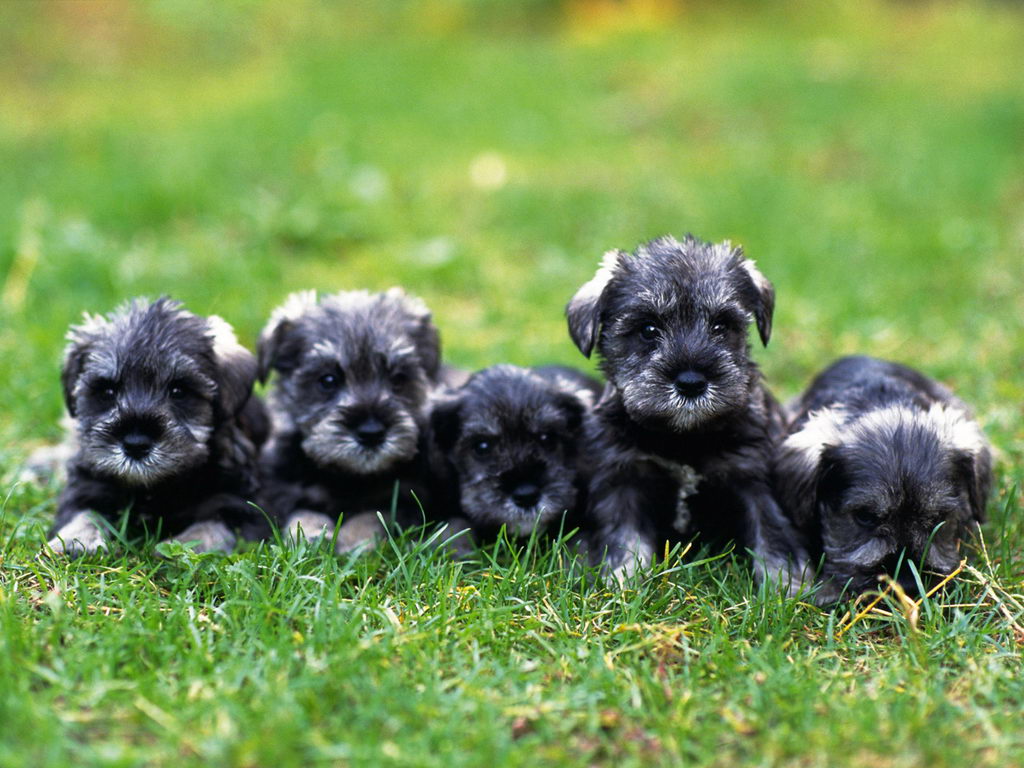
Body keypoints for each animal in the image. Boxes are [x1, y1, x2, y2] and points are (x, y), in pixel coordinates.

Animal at [565, 233, 802, 581]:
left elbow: (773, 537)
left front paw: (786, 587)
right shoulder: (623, 481)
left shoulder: (754, 477)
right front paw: (622, 583)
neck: (683, 438)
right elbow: (625, 541)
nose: (691, 382)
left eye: (721, 326)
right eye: (648, 329)